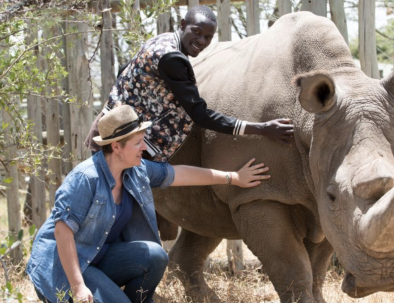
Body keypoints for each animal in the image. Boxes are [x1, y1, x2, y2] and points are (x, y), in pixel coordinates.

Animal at [152, 10, 394, 302]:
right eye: (332, 195)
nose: (383, 278)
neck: (308, 123)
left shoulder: (319, 187)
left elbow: (318, 265)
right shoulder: (259, 193)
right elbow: (292, 265)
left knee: (204, 219)